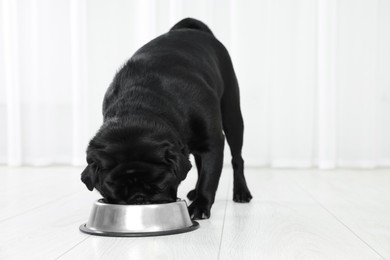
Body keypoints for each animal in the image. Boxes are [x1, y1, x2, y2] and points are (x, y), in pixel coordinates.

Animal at [82, 17, 253, 219]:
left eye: (160, 182)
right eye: (111, 187)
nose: (138, 197)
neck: (140, 106)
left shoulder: (213, 142)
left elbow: (209, 177)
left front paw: (200, 205)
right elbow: (204, 169)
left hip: (232, 116)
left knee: (237, 158)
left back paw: (241, 192)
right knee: (198, 162)